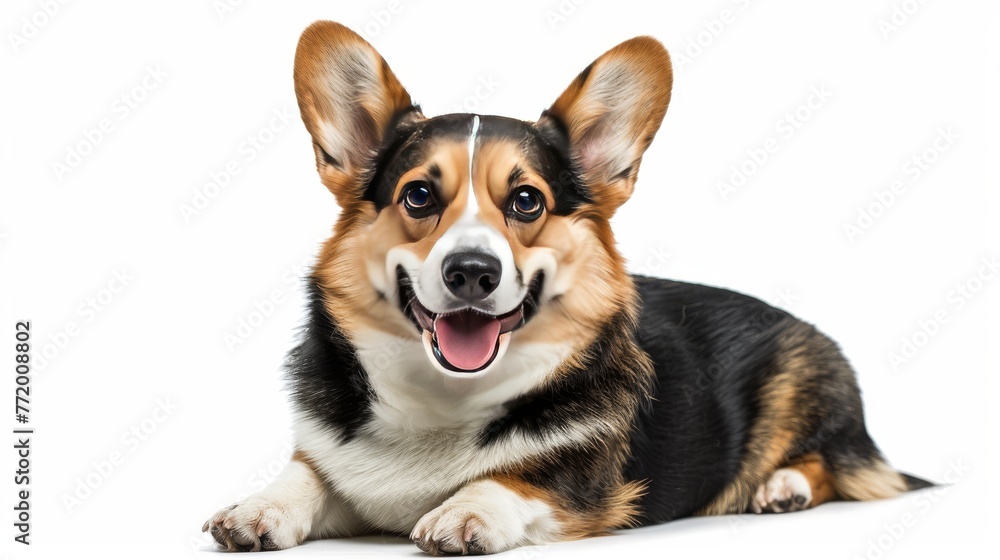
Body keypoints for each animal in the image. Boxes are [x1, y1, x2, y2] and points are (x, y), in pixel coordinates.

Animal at [203, 19, 928, 552]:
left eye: (526, 200)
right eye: (418, 195)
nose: (472, 271)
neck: (445, 399)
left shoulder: (586, 483)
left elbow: (520, 475)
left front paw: (464, 510)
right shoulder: (330, 459)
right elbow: (305, 474)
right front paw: (255, 508)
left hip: (804, 384)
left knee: (837, 465)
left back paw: (783, 487)